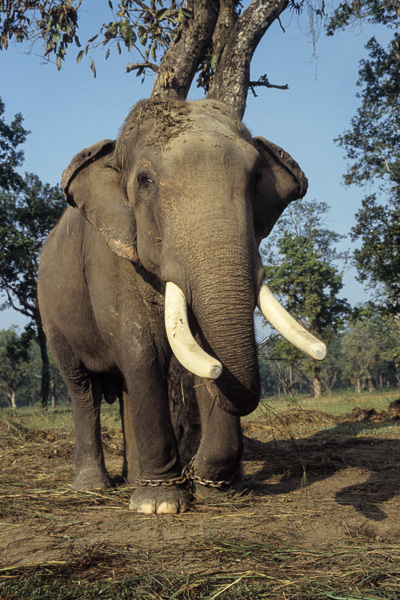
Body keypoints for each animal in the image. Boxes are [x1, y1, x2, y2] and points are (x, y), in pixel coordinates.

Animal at [37, 96, 324, 512]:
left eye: (256, 179)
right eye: (145, 181)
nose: (194, 475)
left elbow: (200, 352)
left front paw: (212, 490)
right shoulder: (111, 257)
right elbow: (143, 352)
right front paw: (160, 504)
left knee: (124, 388)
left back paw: (133, 479)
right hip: (51, 314)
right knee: (82, 387)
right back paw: (94, 487)